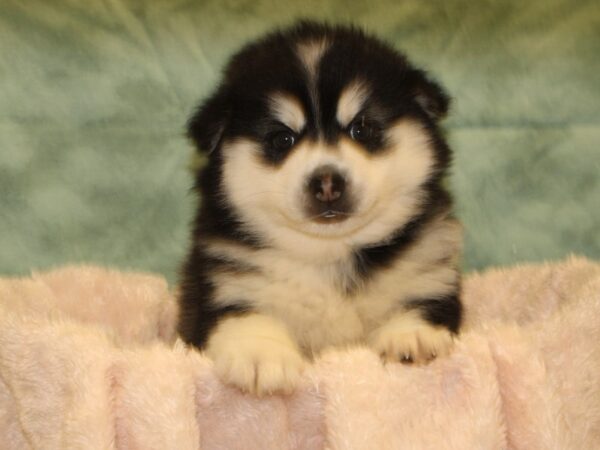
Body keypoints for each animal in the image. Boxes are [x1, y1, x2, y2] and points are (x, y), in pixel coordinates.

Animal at [176, 21, 462, 396]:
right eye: (282, 139)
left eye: (361, 128)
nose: (327, 182)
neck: (327, 253)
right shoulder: (223, 286)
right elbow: (243, 315)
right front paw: (262, 353)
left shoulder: (430, 268)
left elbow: (424, 303)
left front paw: (410, 335)